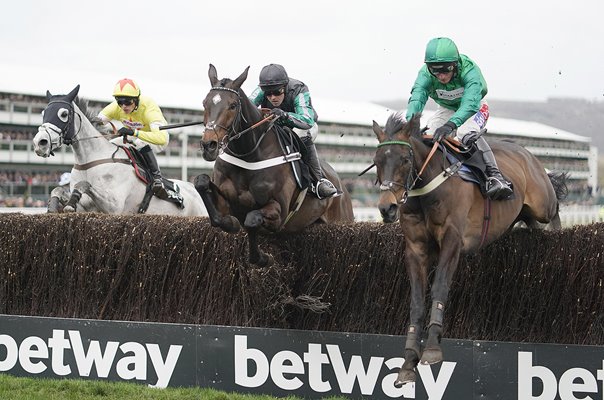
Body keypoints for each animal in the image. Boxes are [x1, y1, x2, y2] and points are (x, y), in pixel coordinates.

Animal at [193, 65, 354, 266]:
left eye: (233, 105)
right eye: (204, 103)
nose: (209, 145)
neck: (249, 155)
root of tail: (342, 186)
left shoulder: (280, 212)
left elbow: (252, 219)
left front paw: (262, 258)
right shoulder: (226, 203)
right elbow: (202, 184)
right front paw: (231, 223)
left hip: (342, 218)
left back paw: (324, 186)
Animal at [372, 111, 568, 386]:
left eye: (405, 159)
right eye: (377, 161)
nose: (387, 207)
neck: (428, 186)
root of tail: (526, 153)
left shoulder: (452, 240)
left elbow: (439, 287)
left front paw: (432, 349)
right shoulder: (415, 248)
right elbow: (416, 301)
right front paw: (408, 362)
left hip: (543, 204)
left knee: (555, 210)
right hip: (523, 213)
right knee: (530, 223)